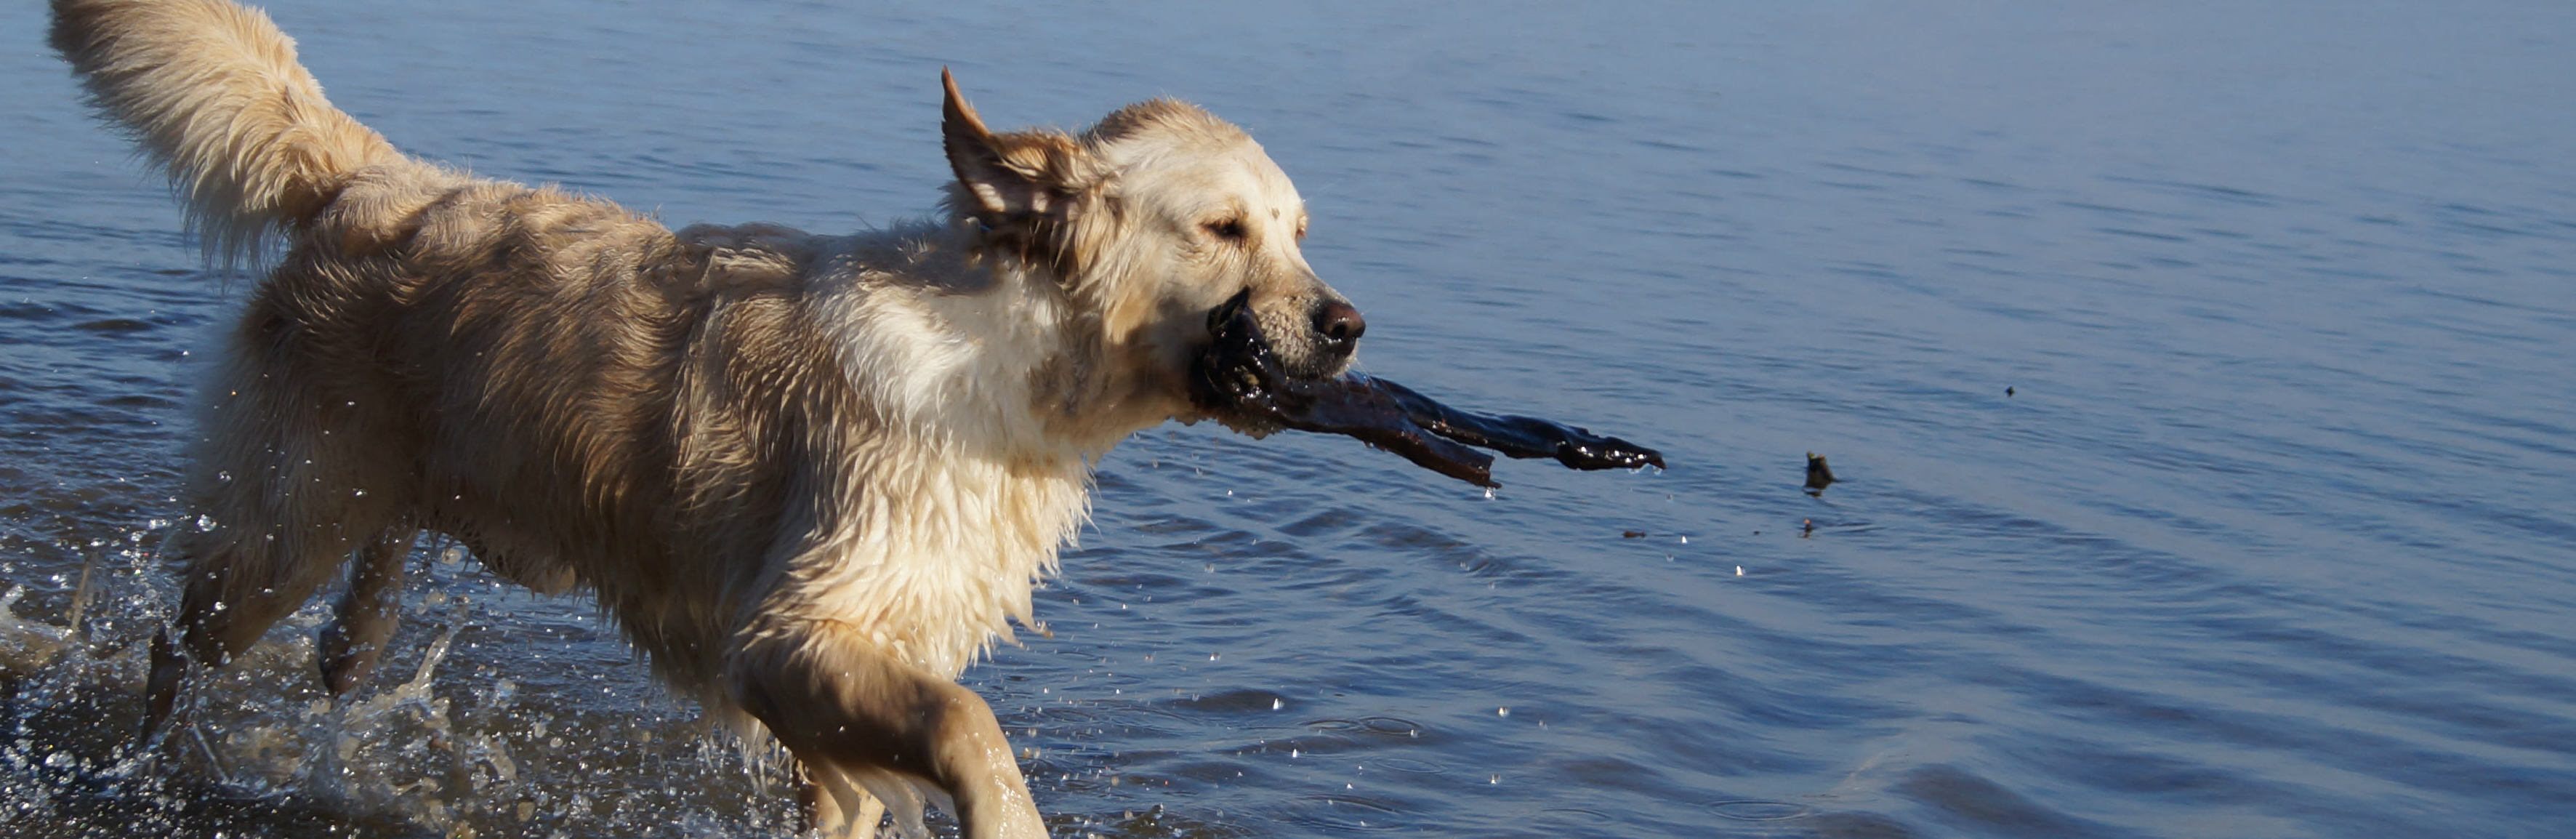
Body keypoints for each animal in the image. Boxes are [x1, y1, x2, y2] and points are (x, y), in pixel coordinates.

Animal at [45, 1, 1390, 833]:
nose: (1347, 326)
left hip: (387, 507)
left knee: (346, 637)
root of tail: (378, 175)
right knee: (176, 642)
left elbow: (869, 780)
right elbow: (969, 718)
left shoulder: (858, 678)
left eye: (1296, 232)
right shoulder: (788, 630)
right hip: (281, 518)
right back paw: (133, 764)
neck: (1001, 357)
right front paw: (1011, 817)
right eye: (1224, 229)